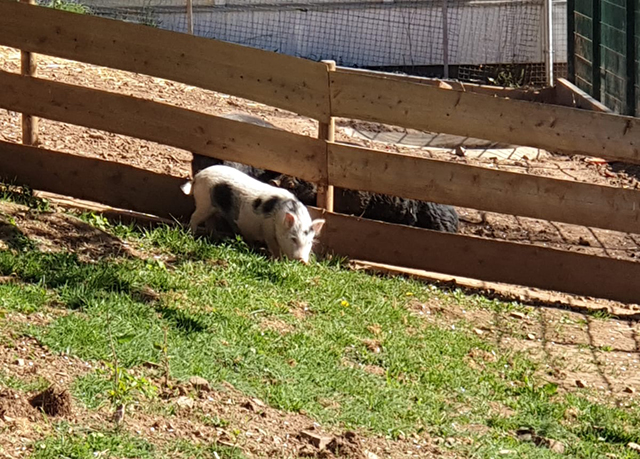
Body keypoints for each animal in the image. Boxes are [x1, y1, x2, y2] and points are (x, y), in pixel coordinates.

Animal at [181, 166, 324, 266]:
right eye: (293, 239)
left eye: (310, 242)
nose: (303, 261)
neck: (278, 218)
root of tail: (197, 176)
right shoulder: (268, 229)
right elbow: (274, 247)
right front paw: (278, 261)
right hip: (204, 201)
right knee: (194, 217)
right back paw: (192, 235)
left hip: (212, 208)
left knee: (210, 221)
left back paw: (215, 238)